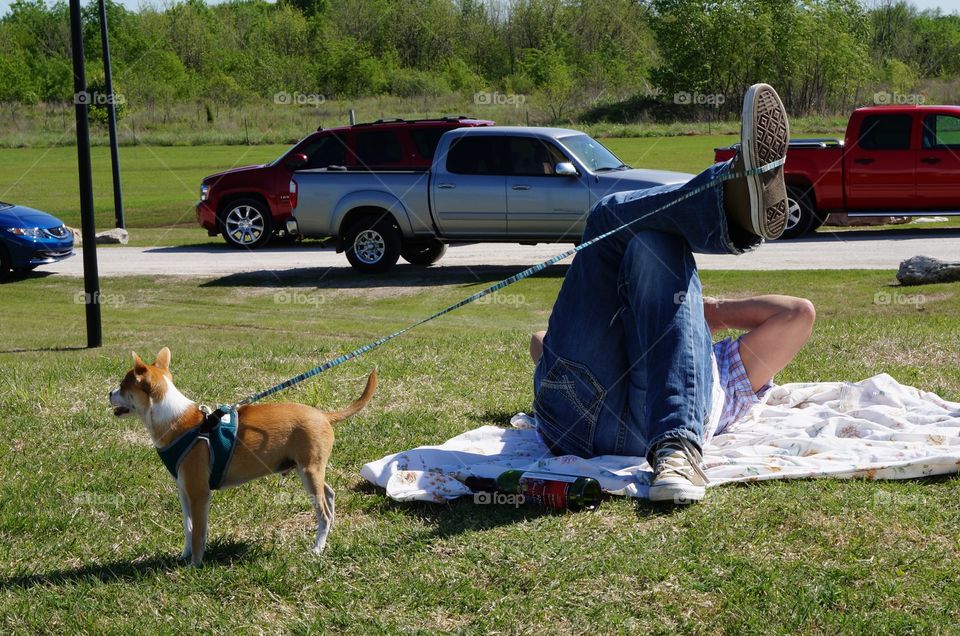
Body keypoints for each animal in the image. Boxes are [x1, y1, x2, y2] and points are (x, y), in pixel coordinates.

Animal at [106, 348, 376, 568]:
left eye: (123, 386)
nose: (109, 393)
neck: (178, 422)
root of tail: (324, 415)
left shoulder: (199, 494)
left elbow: (199, 532)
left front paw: (195, 564)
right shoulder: (184, 491)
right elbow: (188, 527)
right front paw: (184, 556)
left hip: (309, 471)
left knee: (323, 511)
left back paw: (317, 548)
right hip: (308, 470)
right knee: (329, 495)